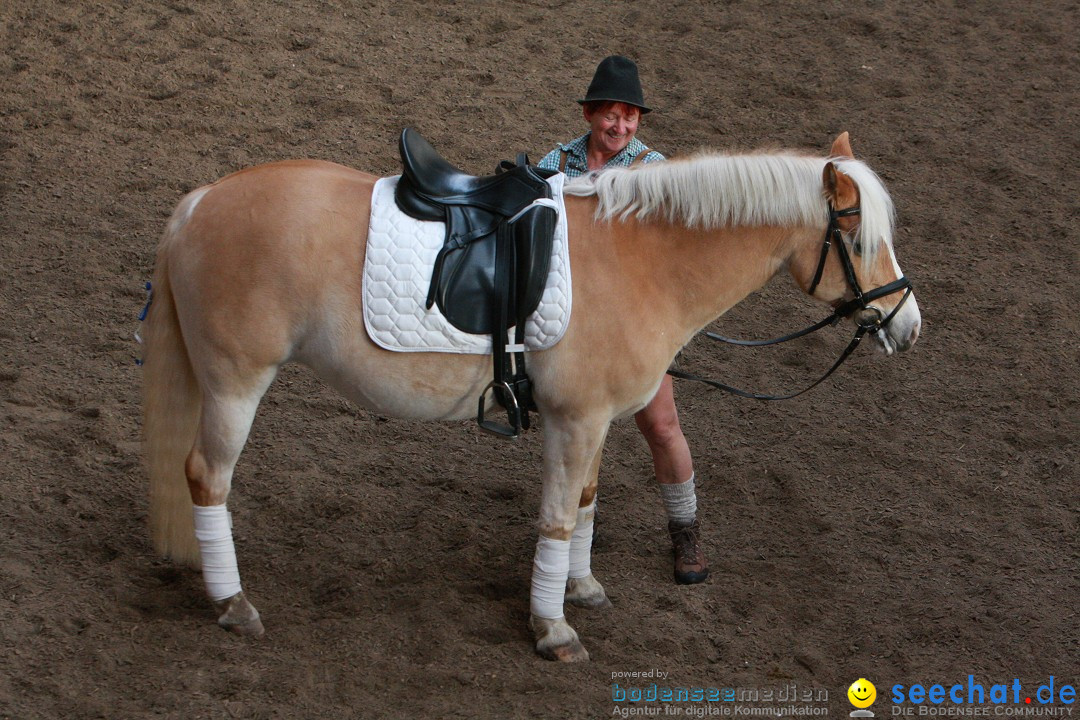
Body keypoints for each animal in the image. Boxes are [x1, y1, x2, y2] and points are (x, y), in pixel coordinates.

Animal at [141, 131, 920, 664]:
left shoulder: (596, 421)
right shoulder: (575, 421)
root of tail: (198, 203)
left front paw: (581, 589)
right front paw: (553, 629)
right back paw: (233, 603)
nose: (906, 323)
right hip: (236, 383)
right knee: (206, 478)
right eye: (857, 232)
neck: (643, 261)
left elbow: (583, 507)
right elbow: (556, 518)